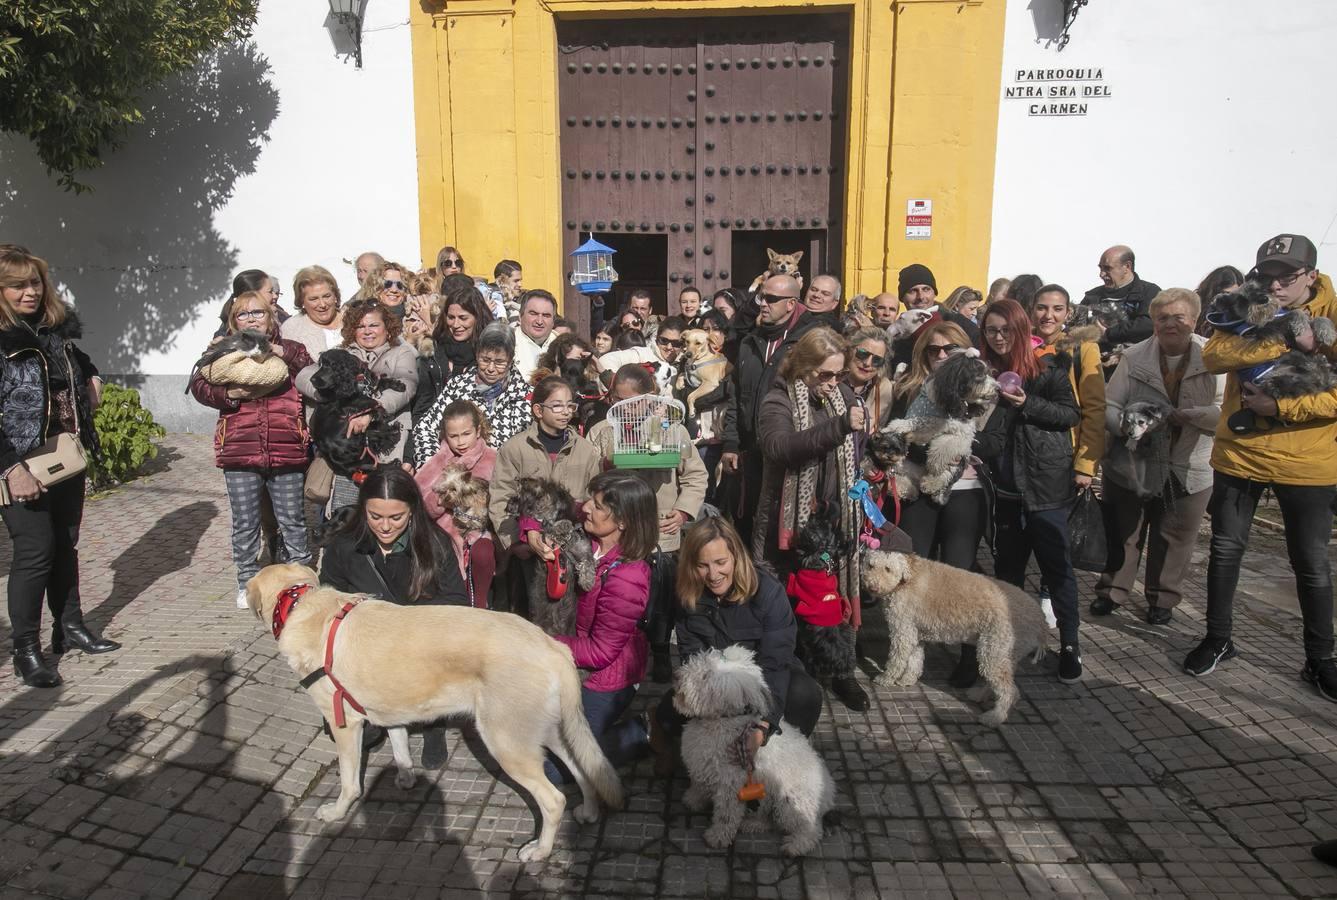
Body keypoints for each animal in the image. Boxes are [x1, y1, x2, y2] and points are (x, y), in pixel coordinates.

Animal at [248, 561, 623, 861]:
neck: (300, 602)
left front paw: (338, 811)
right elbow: (399, 747)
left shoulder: (345, 725)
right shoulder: (392, 710)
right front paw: (405, 778)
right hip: (551, 733)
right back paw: (588, 813)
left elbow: (349, 782)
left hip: (507, 744)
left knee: (554, 800)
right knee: (583, 769)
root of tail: (553, 647)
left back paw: (540, 851)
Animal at [308, 345, 403, 476]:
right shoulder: (346, 401)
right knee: (371, 462)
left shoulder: (369, 385)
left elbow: (379, 383)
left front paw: (398, 385)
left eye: (329, 365)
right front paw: (381, 411)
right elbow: (367, 400)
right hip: (355, 434)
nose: (311, 380)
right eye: (320, 365)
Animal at [673, 647, 828, 855]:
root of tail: (828, 794)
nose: (676, 675)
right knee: (768, 818)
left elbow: (726, 816)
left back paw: (796, 845)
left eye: (706, 675)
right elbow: (698, 786)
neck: (720, 721)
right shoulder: (702, 766)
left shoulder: (731, 784)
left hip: (791, 802)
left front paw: (717, 837)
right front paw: (692, 800)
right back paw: (753, 823)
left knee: (810, 828)